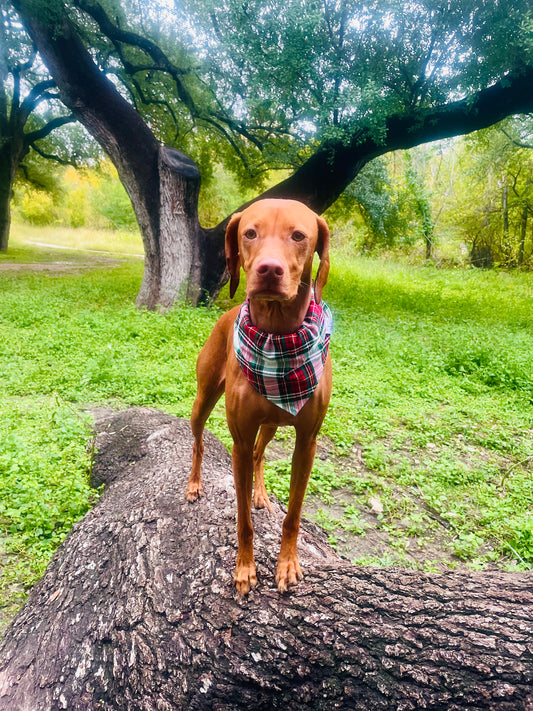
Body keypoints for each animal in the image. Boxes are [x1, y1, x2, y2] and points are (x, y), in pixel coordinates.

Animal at [185, 197, 330, 592]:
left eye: (299, 236)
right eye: (250, 233)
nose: (269, 269)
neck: (278, 335)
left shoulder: (307, 441)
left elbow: (293, 515)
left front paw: (287, 563)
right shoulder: (239, 438)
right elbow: (243, 521)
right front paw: (245, 569)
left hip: (272, 423)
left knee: (260, 454)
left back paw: (260, 493)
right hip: (203, 401)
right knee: (199, 442)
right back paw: (194, 484)